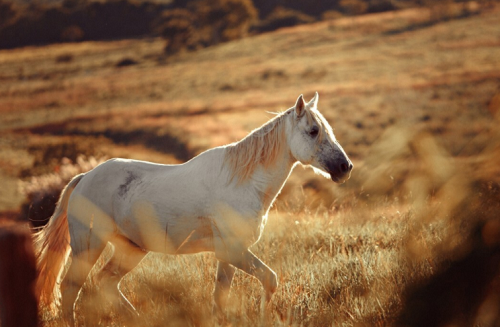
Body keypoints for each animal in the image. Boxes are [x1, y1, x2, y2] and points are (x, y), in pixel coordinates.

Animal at [34, 93, 352, 326]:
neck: (243, 182)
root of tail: (84, 178)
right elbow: (270, 280)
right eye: (313, 131)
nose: (344, 167)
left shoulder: (228, 255)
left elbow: (220, 298)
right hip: (88, 246)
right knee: (70, 289)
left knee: (106, 283)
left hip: (130, 250)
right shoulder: (233, 251)